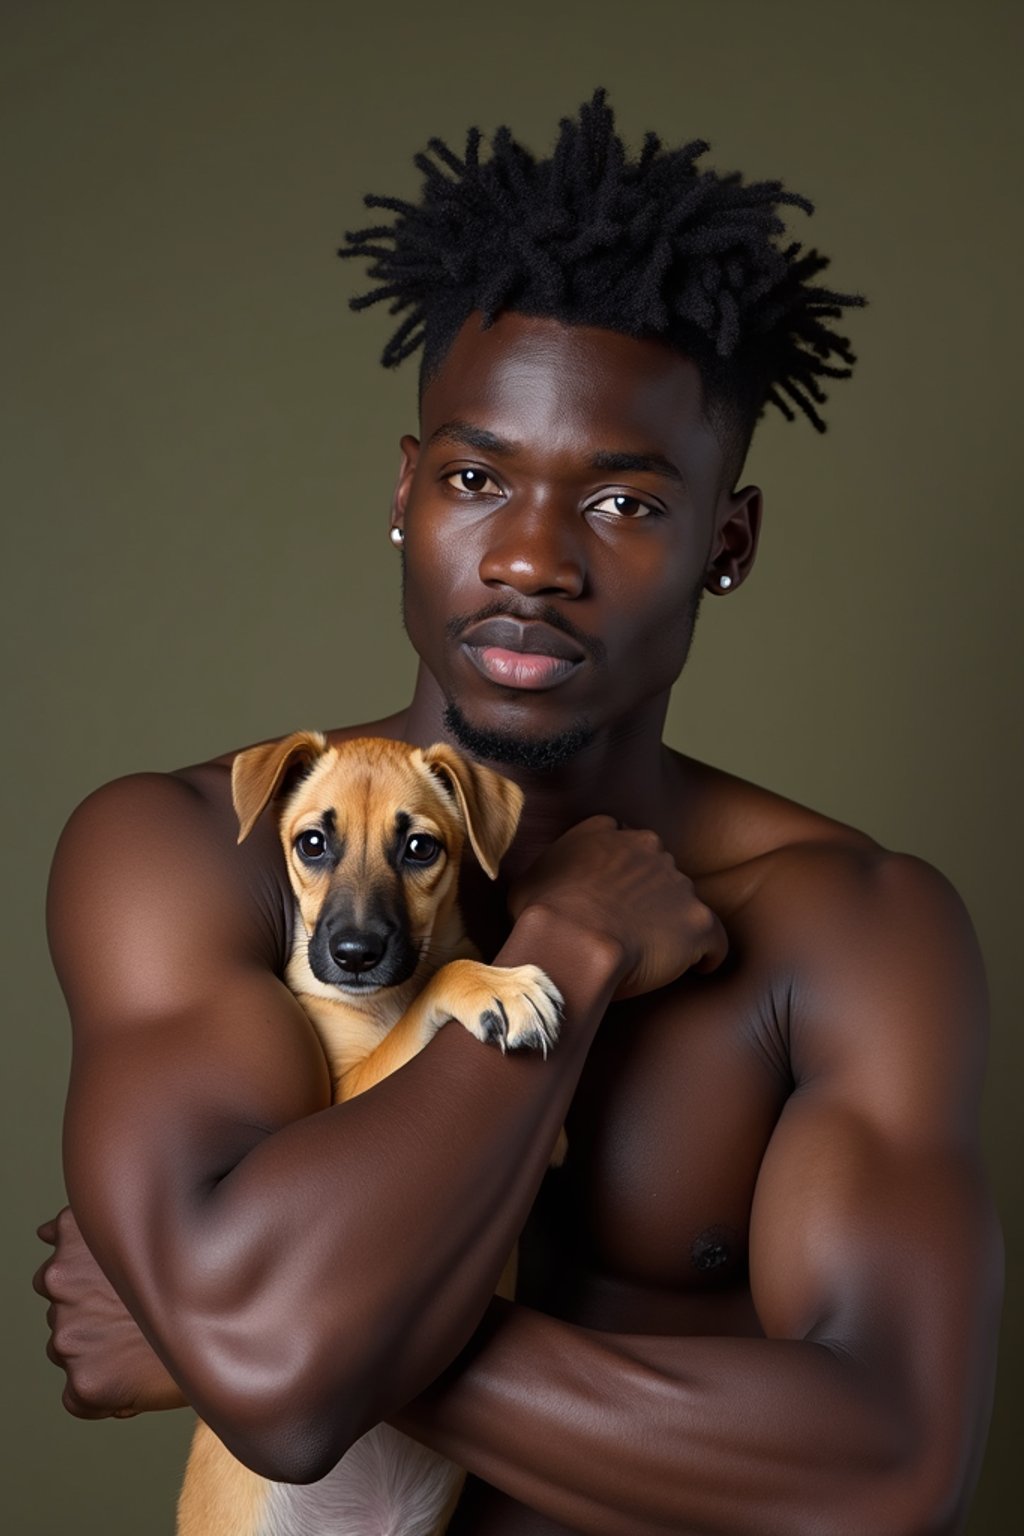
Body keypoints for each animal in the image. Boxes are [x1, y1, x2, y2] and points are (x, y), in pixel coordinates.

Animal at [176, 731, 561, 1536]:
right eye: (312, 843)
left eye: (419, 848)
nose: (354, 954)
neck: (384, 1001)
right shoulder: (330, 1118)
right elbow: (443, 984)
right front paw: (492, 985)